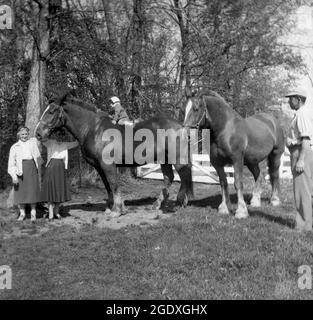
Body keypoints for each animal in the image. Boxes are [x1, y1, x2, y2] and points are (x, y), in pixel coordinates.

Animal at [36, 91, 193, 219]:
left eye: (52, 111)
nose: (38, 133)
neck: (94, 129)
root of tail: (181, 126)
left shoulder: (108, 166)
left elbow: (113, 184)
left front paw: (117, 210)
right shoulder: (99, 167)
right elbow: (107, 186)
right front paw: (110, 207)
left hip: (177, 159)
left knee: (183, 176)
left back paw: (179, 203)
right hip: (164, 160)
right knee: (169, 178)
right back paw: (158, 204)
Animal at [183, 90, 286, 219]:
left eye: (196, 109)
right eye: (184, 109)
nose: (185, 134)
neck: (225, 129)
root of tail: (273, 120)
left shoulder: (237, 160)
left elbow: (238, 183)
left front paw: (241, 211)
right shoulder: (217, 163)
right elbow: (223, 182)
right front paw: (224, 208)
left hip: (275, 156)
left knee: (275, 175)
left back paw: (275, 200)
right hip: (252, 161)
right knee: (259, 176)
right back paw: (255, 201)